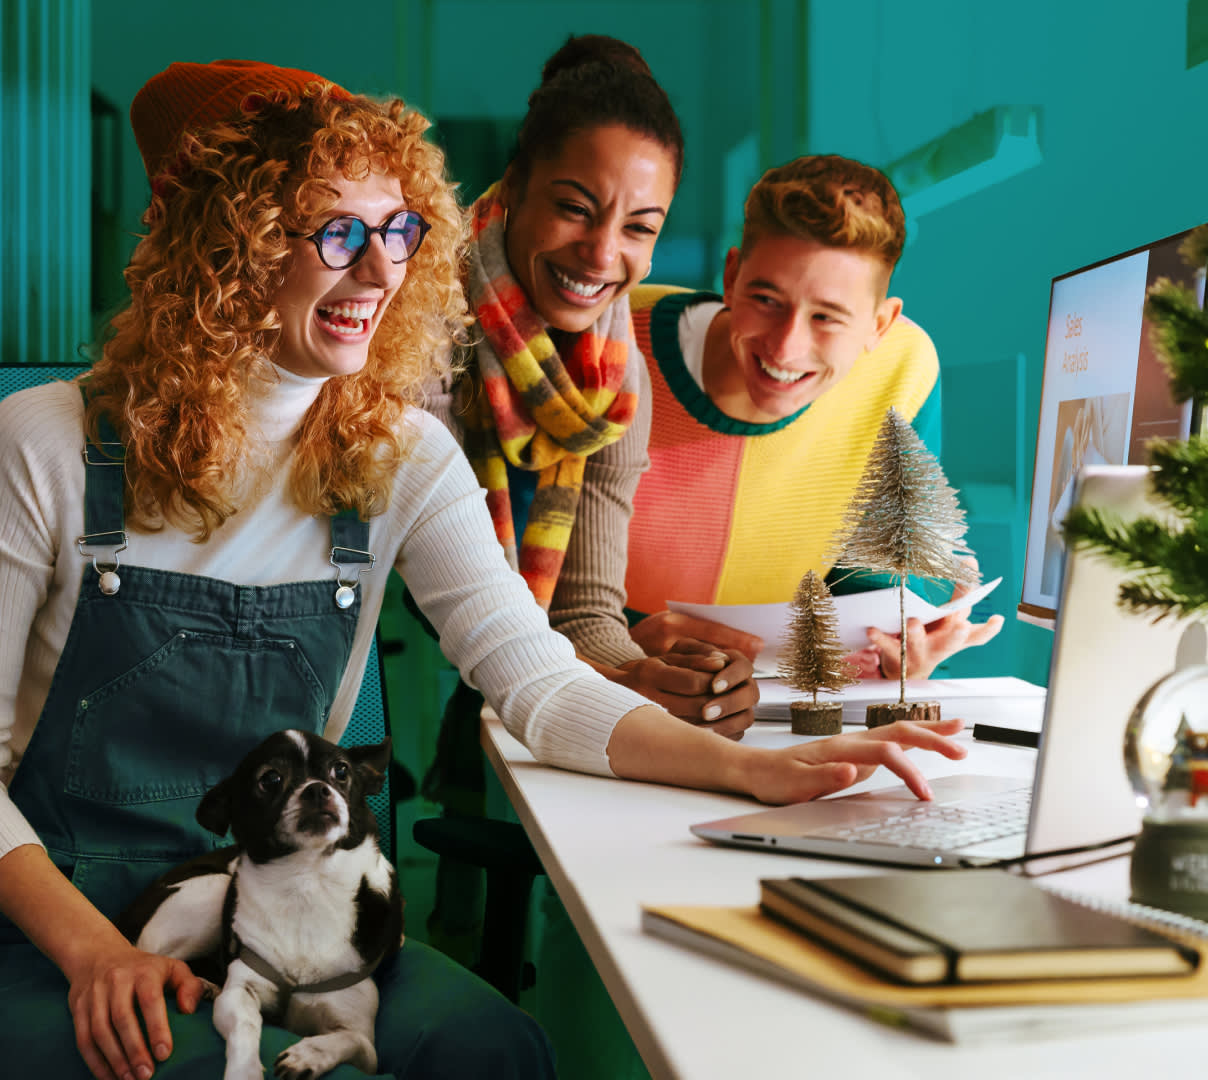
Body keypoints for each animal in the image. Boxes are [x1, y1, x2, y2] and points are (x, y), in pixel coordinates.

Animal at [121, 729, 405, 1077]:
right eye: (270, 779)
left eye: (341, 771)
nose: (317, 789)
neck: (307, 882)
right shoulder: (240, 994)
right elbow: (245, 1026)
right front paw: (244, 1071)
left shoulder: (365, 1045)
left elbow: (349, 1039)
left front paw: (307, 1055)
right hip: (214, 889)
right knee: (155, 958)